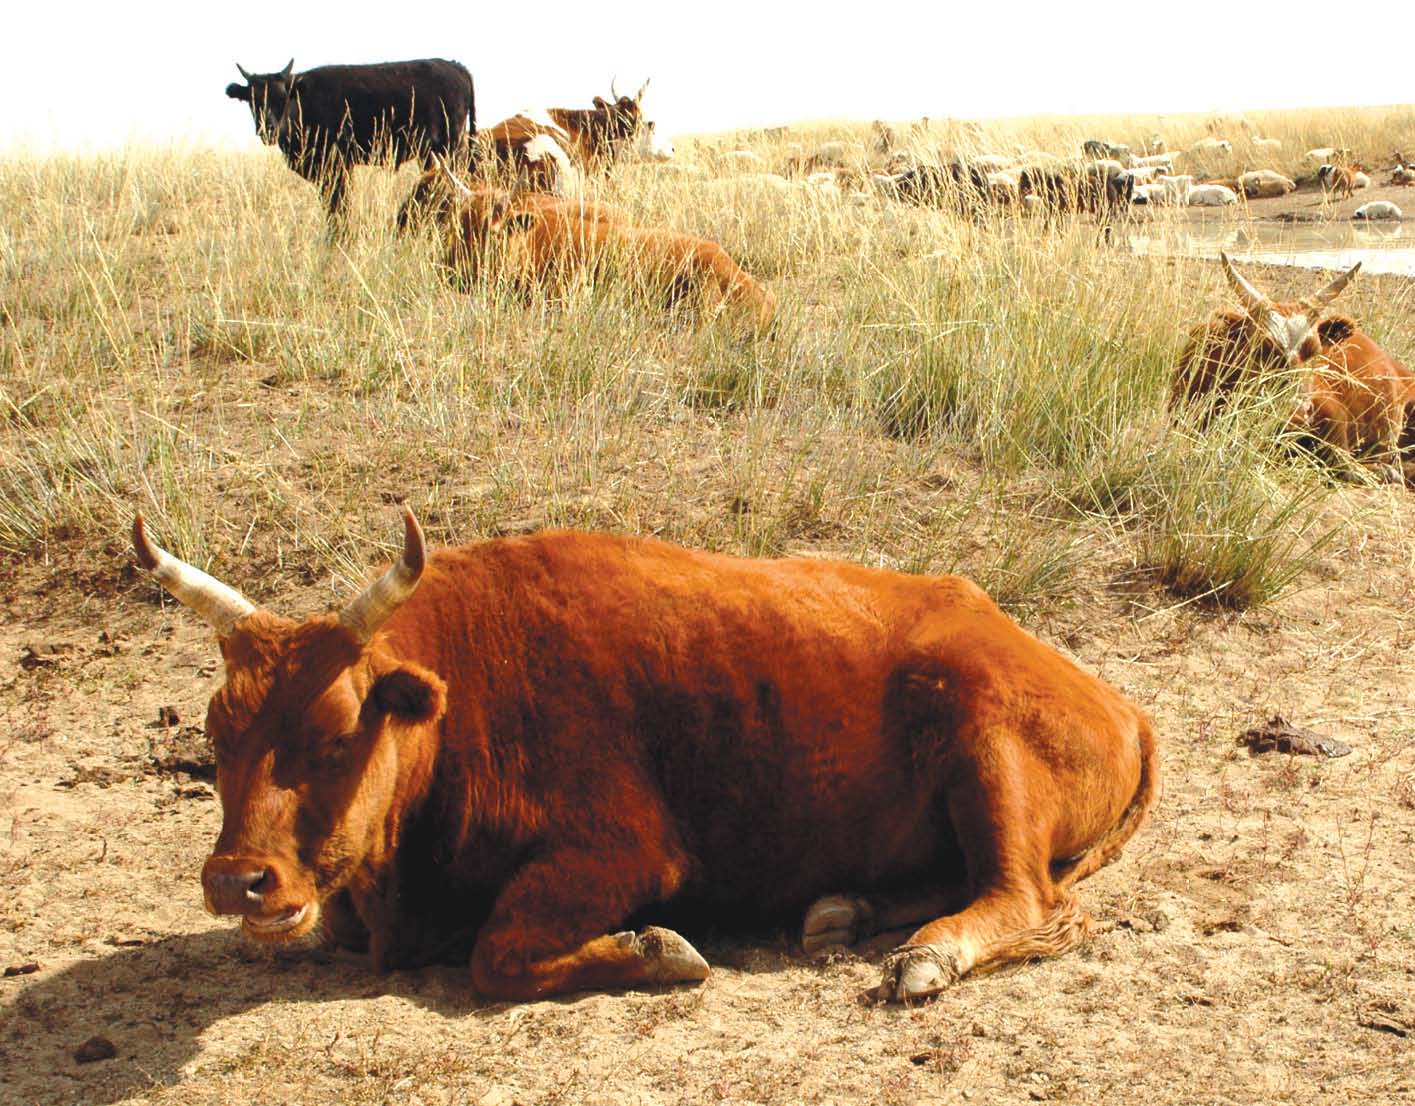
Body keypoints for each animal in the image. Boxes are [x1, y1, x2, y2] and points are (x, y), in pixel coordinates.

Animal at [135, 511, 1160, 1006]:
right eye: (217, 732)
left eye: (338, 730)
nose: (237, 881)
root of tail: (1120, 704)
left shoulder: (618, 853)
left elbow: (498, 955)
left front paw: (657, 949)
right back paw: (844, 911)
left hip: (987, 750)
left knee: (1029, 899)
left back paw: (924, 959)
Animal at [226, 57, 478, 220]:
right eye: (252, 99)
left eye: (283, 97)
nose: (268, 128)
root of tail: (455, 66)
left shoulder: (337, 168)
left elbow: (339, 208)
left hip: (449, 148)